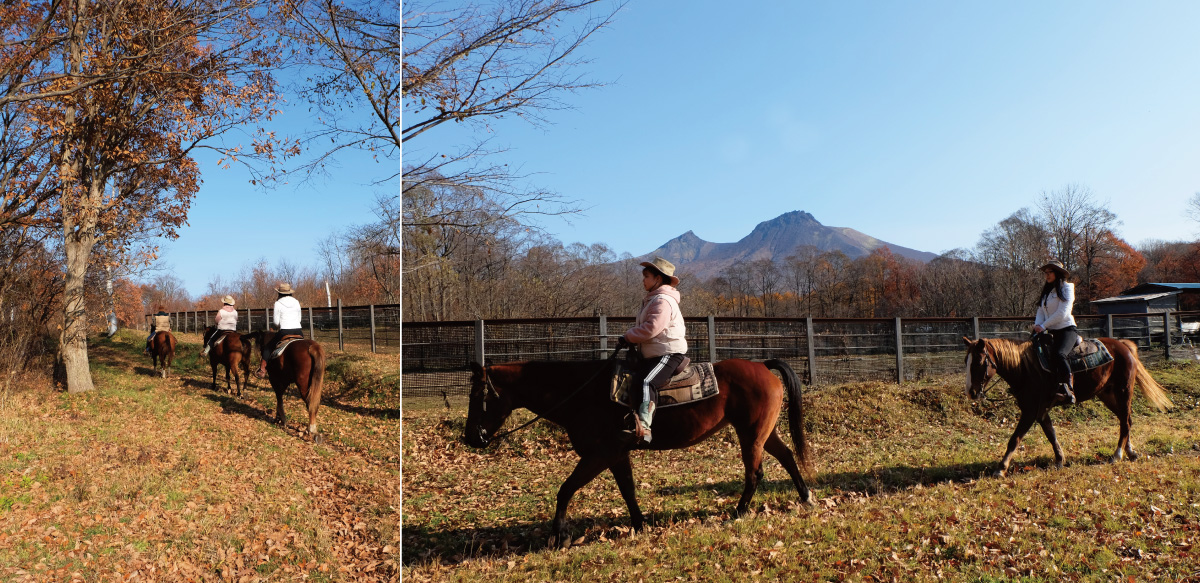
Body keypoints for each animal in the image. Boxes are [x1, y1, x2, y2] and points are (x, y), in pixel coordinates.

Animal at [464, 358, 813, 546]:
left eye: (479, 395)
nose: (470, 438)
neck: (581, 393)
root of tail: (762, 366)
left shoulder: (599, 455)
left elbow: (565, 489)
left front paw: (557, 536)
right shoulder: (617, 455)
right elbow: (628, 490)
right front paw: (639, 525)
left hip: (751, 434)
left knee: (755, 472)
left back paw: (739, 512)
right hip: (763, 432)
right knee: (786, 456)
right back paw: (805, 497)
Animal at [963, 336, 1172, 477]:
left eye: (979, 361)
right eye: (966, 361)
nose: (971, 392)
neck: (1025, 369)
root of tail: (1123, 346)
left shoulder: (1030, 411)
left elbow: (1014, 439)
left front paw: (1001, 468)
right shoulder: (1041, 411)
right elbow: (1051, 434)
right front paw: (1059, 459)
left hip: (1123, 391)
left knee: (1126, 422)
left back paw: (1117, 455)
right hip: (1107, 394)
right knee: (1125, 419)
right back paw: (1130, 452)